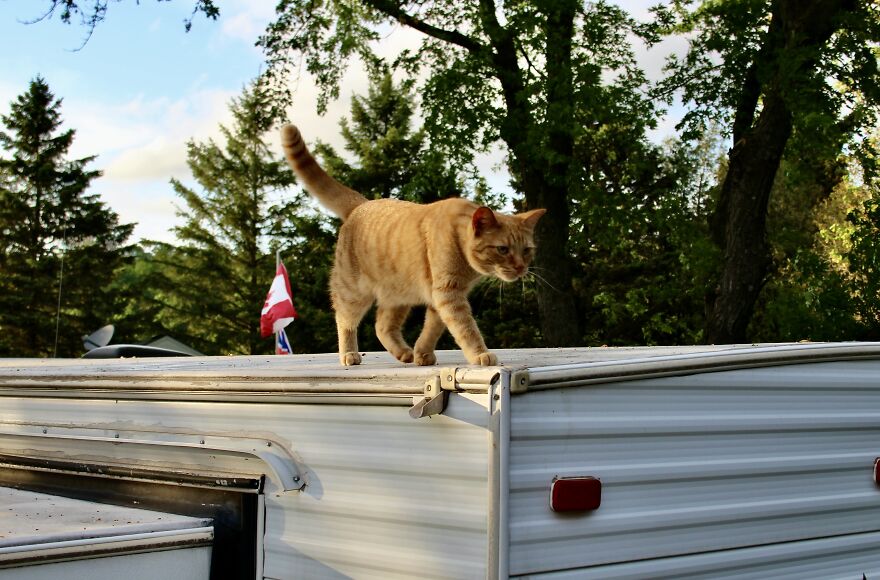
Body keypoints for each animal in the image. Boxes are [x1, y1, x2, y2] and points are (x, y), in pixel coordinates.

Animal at [280, 124, 544, 364]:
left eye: (526, 250)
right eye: (503, 249)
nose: (521, 268)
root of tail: (361, 204)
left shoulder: (442, 297)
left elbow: (432, 329)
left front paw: (422, 354)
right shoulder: (448, 293)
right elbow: (466, 328)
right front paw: (480, 354)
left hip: (398, 295)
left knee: (382, 326)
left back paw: (404, 353)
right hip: (353, 291)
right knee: (345, 320)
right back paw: (349, 355)